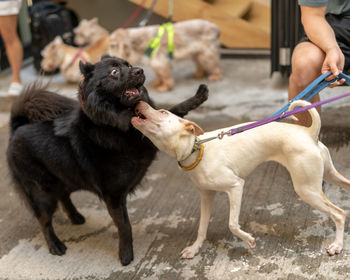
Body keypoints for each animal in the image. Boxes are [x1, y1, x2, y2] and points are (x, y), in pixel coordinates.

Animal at [6, 54, 208, 264]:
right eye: (114, 71)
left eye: (128, 65)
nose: (140, 70)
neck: (116, 125)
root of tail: (16, 128)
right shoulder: (114, 195)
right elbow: (124, 226)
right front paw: (126, 255)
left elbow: (171, 112)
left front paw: (198, 97)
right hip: (41, 191)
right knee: (44, 220)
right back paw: (55, 245)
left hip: (64, 177)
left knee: (63, 196)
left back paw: (75, 217)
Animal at [131, 86, 350, 260]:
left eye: (162, 112)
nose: (138, 102)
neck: (197, 149)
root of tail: (308, 132)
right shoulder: (206, 196)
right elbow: (202, 227)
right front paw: (195, 248)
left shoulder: (236, 186)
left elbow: (232, 224)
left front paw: (249, 241)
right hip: (327, 176)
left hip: (307, 189)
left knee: (339, 214)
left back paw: (337, 245)